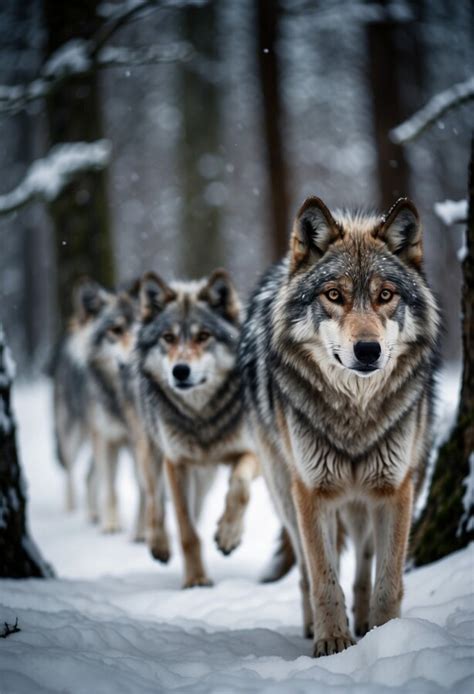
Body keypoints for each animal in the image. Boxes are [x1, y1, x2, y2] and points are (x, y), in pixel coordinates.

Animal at [53, 278, 170, 559]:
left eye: (140, 328)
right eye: (116, 330)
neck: (119, 395)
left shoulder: (138, 443)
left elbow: (144, 489)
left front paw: (142, 534)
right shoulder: (109, 439)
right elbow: (113, 489)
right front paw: (112, 527)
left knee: (88, 476)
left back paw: (95, 515)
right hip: (75, 435)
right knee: (72, 472)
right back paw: (78, 513)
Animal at [134, 270, 259, 588]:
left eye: (203, 336)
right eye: (168, 338)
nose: (180, 371)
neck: (202, 417)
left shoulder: (253, 454)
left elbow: (240, 487)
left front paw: (228, 535)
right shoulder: (176, 464)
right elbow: (187, 531)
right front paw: (196, 580)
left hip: (204, 476)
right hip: (152, 453)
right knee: (153, 499)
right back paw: (158, 544)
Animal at [239, 196, 440, 656]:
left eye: (385, 295)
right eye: (334, 295)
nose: (367, 350)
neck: (355, 414)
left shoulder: (395, 490)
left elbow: (388, 581)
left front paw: (387, 636)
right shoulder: (313, 492)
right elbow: (323, 577)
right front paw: (332, 640)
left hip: (372, 495)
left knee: (364, 562)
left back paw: (364, 621)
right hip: (284, 491)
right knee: (302, 567)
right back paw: (313, 625)